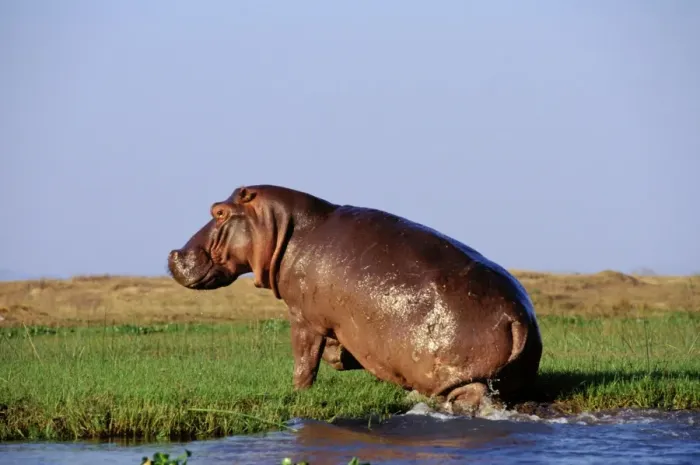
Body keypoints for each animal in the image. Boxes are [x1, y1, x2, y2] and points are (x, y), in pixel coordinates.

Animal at [167, 184, 543, 411]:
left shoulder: (303, 316)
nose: (174, 253)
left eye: (218, 211)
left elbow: (305, 360)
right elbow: (332, 353)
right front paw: (343, 358)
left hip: (466, 379)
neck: (282, 226)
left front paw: (298, 393)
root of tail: (517, 317)